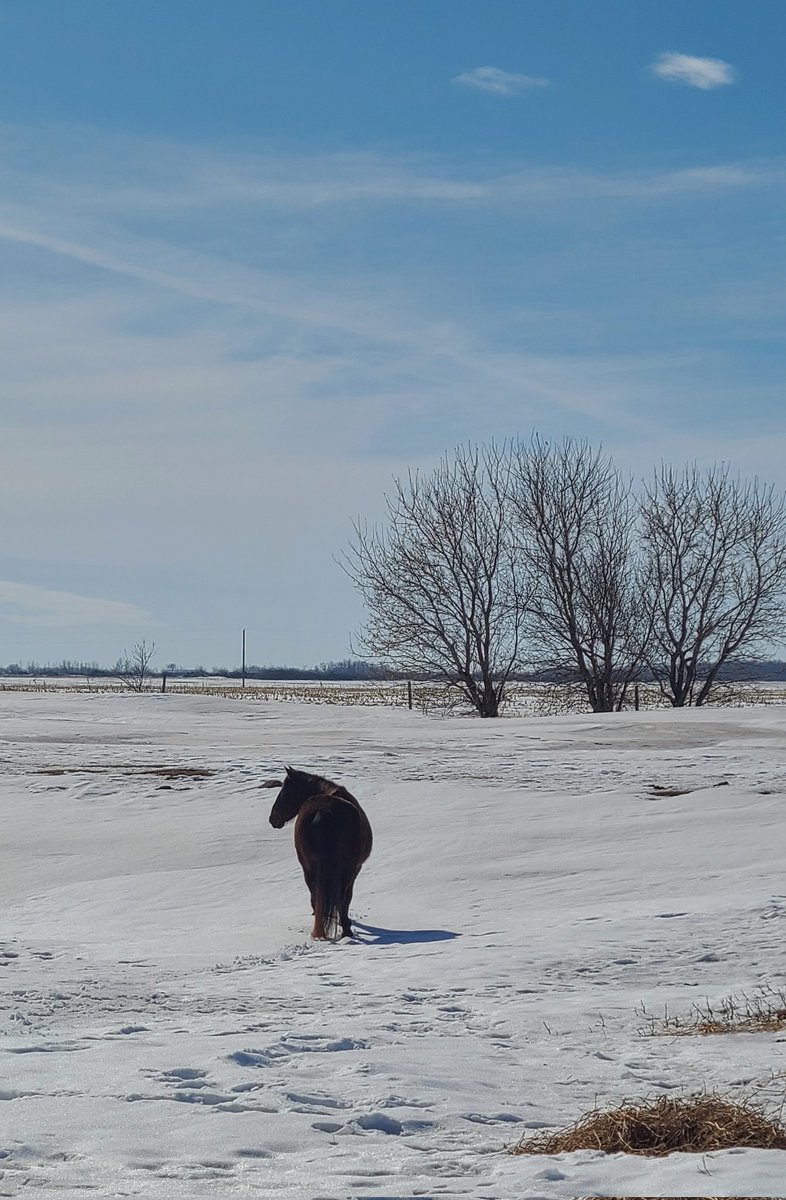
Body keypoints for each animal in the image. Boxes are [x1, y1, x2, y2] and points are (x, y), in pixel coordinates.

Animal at [263, 767, 372, 941]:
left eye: (285, 792)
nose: (273, 819)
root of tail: (324, 809)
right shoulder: (356, 869)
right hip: (346, 869)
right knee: (340, 897)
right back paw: (345, 930)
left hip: (308, 867)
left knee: (315, 895)